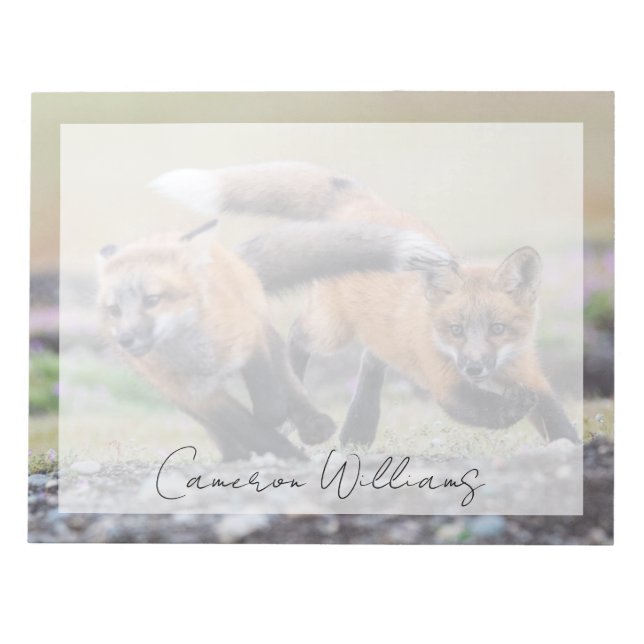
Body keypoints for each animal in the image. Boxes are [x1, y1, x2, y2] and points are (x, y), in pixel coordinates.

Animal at [97, 212, 454, 460]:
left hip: (267, 332)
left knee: (290, 380)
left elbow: (269, 403)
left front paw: (280, 427)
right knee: (224, 429)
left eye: (152, 300)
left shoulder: (250, 338)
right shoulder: (198, 395)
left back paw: (311, 424)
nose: (125, 339)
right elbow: (247, 428)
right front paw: (281, 454)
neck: (199, 354)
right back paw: (235, 454)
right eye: (115, 309)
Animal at [151, 161, 581, 446]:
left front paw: (570, 451)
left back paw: (358, 430)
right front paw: (509, 409)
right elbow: (481, 409)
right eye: (456, 330)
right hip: (330, 330)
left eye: (497, 329)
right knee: (298, 335)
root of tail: (362, 203)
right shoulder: (445, 382)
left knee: (372, 360)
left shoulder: (529, 373)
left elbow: (556, 420)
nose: (475, 367)